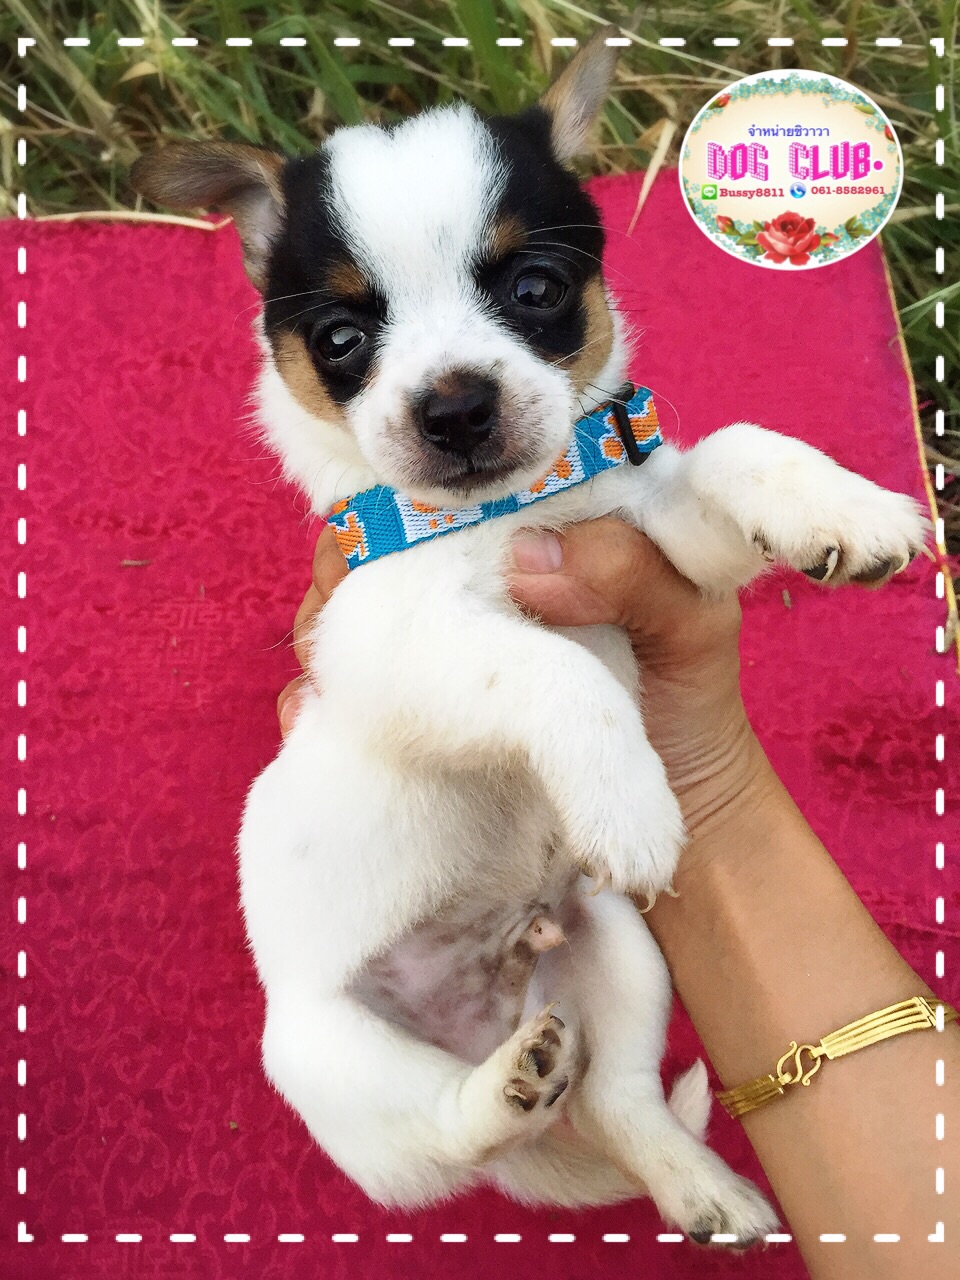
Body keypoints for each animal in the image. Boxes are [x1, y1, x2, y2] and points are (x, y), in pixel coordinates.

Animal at [132, 28, 927, 1242]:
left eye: (536, 288)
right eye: (342, 337)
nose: (456, 406)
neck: (520, 510)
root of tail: (485, 1011)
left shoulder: (662, 543)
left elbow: (737, 450)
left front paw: (848, 510)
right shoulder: (393, 638)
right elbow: (553, 670)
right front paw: (632, 802)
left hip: (620, 952)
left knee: (619, 1099)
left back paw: (697, 1182)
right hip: (334, 1060)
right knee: (455, 1134)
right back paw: (504, 1087)